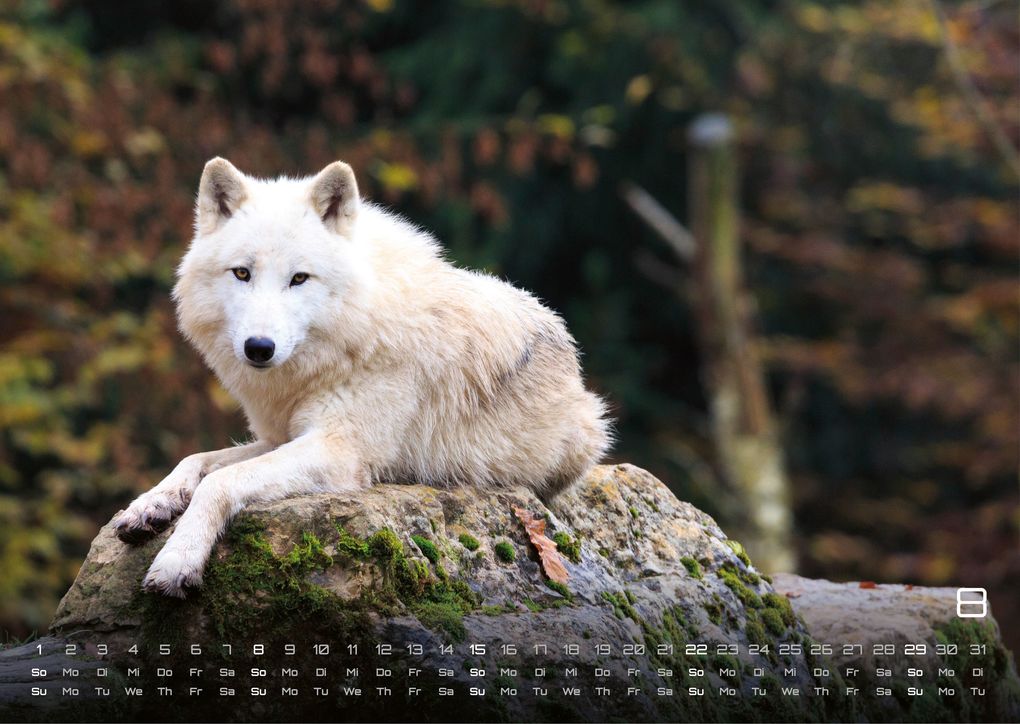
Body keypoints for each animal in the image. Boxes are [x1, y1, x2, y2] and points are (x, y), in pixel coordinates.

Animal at [113, 158, 611, 597]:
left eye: (299, 278)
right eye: (242, 273)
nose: (259, 347)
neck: (351, 335)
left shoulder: (339, 450)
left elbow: (219, 482)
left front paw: (177, 561)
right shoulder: (281, 436)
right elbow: (196, 460)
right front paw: (148, 506)